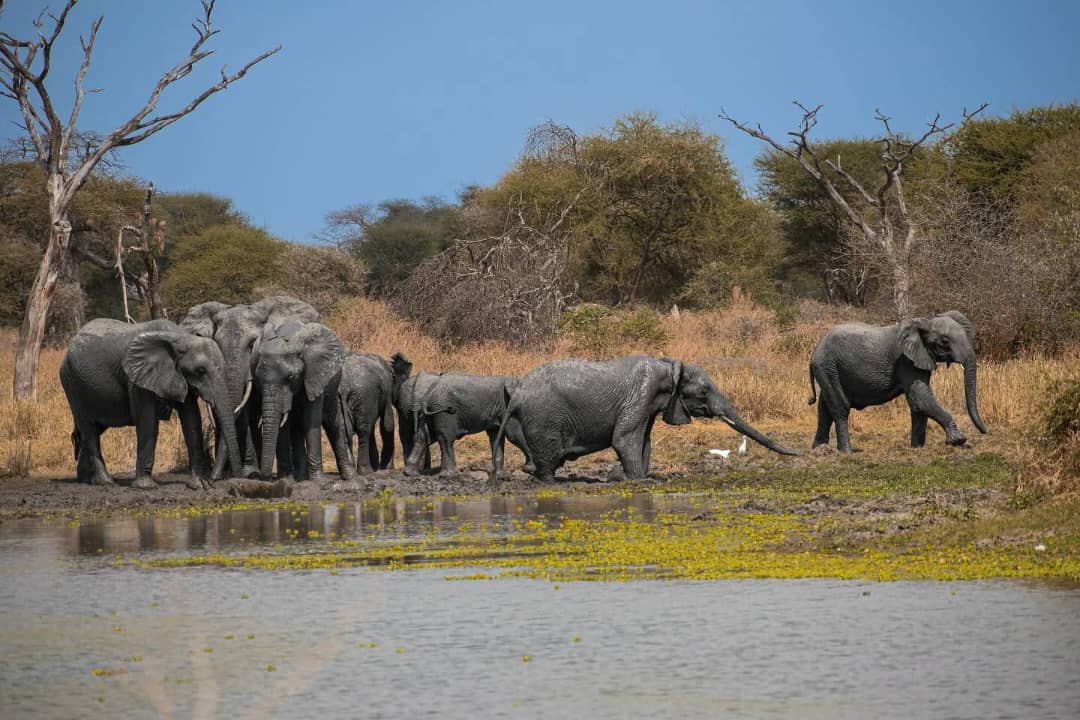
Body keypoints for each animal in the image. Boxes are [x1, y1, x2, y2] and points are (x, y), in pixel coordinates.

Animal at [59, 319, 242, 490]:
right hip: (72, 384)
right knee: (89, 430)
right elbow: (148, 422)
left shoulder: (181, 378)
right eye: (201, 371)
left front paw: (200, 485)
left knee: (90, 430)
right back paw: (105, 482)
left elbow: (191, 420)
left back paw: (85, 480)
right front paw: (145, 486)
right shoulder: (138, 380)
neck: (181, 338)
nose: (231, 480)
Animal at [181, 295, 319, 480]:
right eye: (217, 345)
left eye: (253, 343)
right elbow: (243, 412)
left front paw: (250, 473)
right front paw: (249, 473)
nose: (213, 478)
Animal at [251, 318, 355, 482]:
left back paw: (349, 477)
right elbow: (284, 424)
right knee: (296, 426)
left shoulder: (314, 375)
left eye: (291, 377)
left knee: (332, 421)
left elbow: (311, 420)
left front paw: (318, 480)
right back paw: (301, 477)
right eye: (258, 378)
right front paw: (285, 480)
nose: (265, 477)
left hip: (333, 381)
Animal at [494, 355, 798, 483]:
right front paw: (640, 482)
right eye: (703, 391)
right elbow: (624, 439)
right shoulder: (641, 394)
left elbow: (645, 442)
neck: (669, 364)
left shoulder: (649, 405)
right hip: (544, 419)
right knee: (548, 458)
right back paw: (550, 482)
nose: (797, 453)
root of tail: (518, 394)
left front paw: (640, 477)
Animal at [808, 310, 987, 453]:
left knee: (824, 408)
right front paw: (959, 440)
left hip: (828, 369)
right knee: (840, 408)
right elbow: (921, 398)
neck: (925, 322)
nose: (985, 432)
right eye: (944, 342)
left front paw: (917, 448)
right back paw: (847, 452)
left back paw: (820, 449)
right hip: (828, 366)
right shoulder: (905, 361)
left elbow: (918, 403)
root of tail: (815, 350)